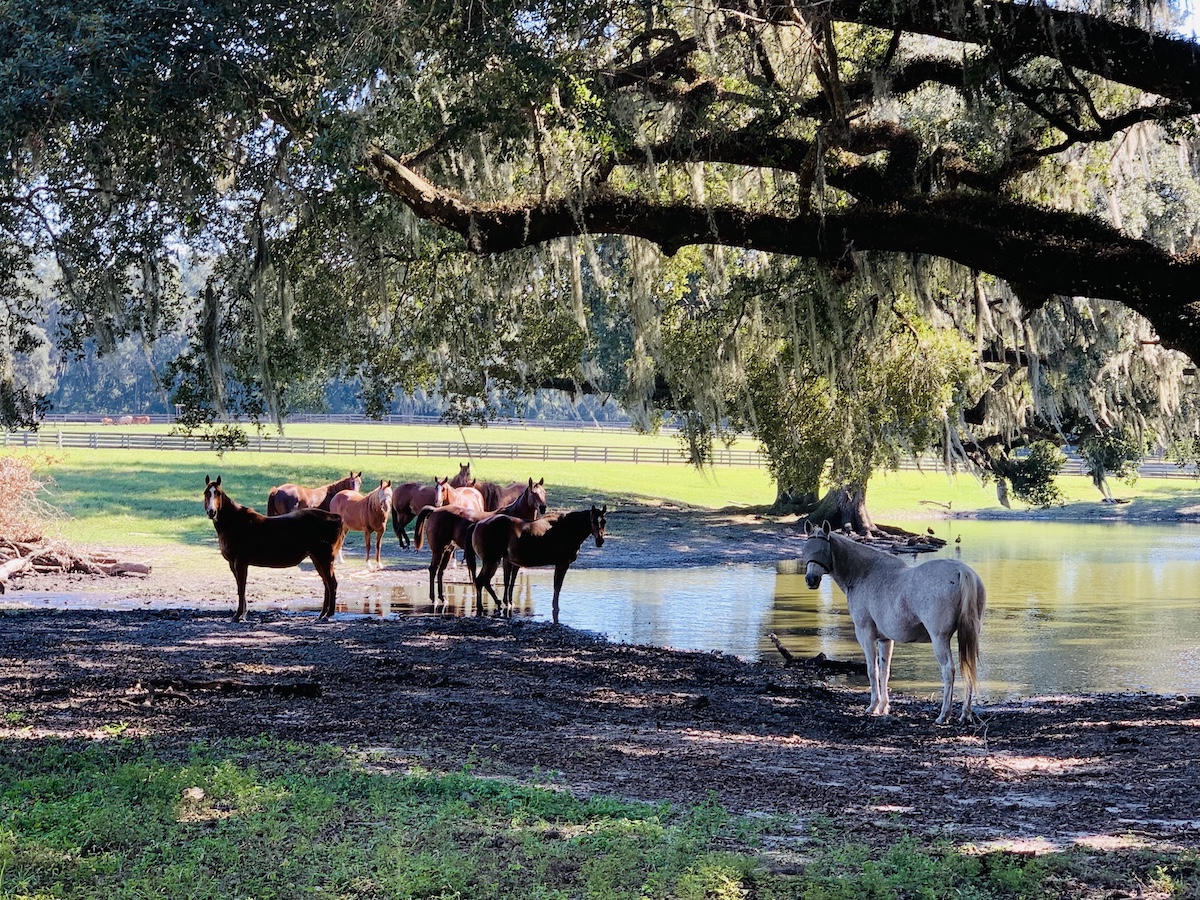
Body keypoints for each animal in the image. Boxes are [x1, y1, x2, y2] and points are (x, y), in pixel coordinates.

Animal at [201, 480, 343, 619]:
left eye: (218, 493)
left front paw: (238, 615)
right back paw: (322, 613)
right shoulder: (233, 564)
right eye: (206, 493)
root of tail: (335, 517)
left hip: (324, 559)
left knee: (332, 584)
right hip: (317, 559)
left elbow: (241, 588)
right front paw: (243, 613)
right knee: (326, 584)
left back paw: (329, 614)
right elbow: (240, 587)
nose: (211, 512)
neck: (234, 523)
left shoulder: (240, 563)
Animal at [410, 480, 547, 607]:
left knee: (441, 571)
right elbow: (507, 579)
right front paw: (507, 601)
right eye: (534, 493)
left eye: (544, 492)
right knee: (433, 570)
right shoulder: (506, 560)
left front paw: (510, 601)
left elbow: (512, 580)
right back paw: (434, 599)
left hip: (448, 550)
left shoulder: (514, 561)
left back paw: (443, 598)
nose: (543, 507)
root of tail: (435, 510)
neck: (514, 519)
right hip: (439, 550)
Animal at [472, 508, 609, 628]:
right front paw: (555, 607)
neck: (566, 528)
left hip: (494, 562)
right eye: (593, 521)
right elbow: (557, 587)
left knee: (485, 582)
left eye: (603, 521)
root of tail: (479, 524)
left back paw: (498, 603)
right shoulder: (562, 564)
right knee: (479, 581)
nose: (600, 540)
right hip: (491, 561)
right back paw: (480, 608)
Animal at [801, 520, 988, 724]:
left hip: (940, 638)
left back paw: (943, 715)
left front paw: (873, 706)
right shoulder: (885, 639)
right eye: (806, 549)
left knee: (949, 670)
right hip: (967, 634)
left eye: (822, 550)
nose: (810, 580)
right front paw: (884, 707)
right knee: (967, 667)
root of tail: (962, 571)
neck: (865, 574)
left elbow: (872, 669)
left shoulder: (865, 633)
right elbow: (885, 671)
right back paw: (965, 714)